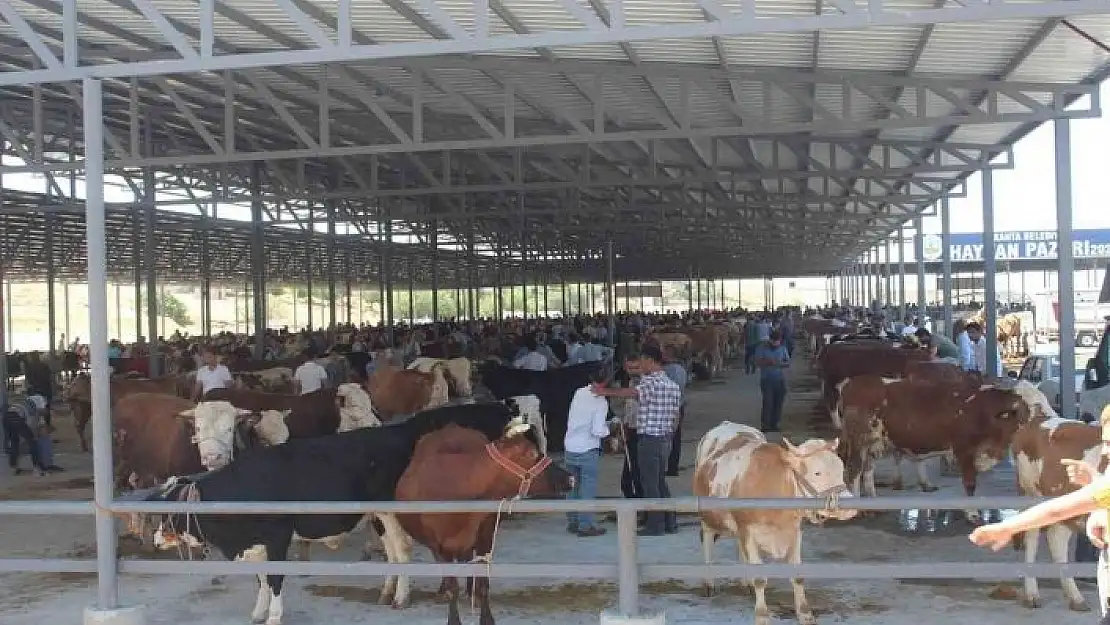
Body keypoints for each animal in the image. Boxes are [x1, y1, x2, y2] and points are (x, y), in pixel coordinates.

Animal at [147, 401, 541, 621]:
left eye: (171, 511)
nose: (155, 539)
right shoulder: (253, 542)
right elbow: (260, 578)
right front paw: (258, 612)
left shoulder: (277, 536)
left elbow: (274, 578)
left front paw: (273, 616)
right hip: (379, 517)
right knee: (393, 553)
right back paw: (388, 592)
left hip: (391, 514)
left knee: (403, 552)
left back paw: (401, 596)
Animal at [395, 419, 572, 625]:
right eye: (532, 453)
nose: (570, 478)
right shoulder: (437, 546)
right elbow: (452, 587)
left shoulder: (485, 536)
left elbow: (483, 584)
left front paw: (486, 616)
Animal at [692, 419, 856, 625]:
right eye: (817, 473)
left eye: (841, 469)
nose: (849, 508)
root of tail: (727, 423)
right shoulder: (748, 530)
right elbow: (760, 579)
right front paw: (762, 615)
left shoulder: (794, 531)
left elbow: (797, 576)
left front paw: (805, 613)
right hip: (707, 514)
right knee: (706, 536)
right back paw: (709, 583)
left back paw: (745, 582)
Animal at [839, 377, 1038, 508]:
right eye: (1022, 410)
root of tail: (851, 383)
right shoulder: (964, 451)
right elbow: (970, 484)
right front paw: (972, 514)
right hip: (858, 442)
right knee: (854, 470)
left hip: (872, 443)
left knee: (867, 470)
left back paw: (873, 501)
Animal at [1012, 410, 1105, 612]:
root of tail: (1039, 418)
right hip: (1032, 493)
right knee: (1032, 538)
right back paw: (1032, 595)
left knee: (1056, 538)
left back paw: (1076, 598)